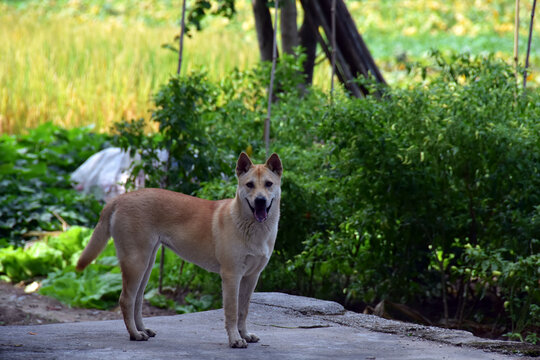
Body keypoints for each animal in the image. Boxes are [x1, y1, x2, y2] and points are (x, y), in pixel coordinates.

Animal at [77, 153, 284, 348]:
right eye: (249, 185)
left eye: (268, 184)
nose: (260, 201)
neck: (251, 227)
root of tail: (119, 198)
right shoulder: (231, 275)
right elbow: (232, 312)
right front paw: (235, 339)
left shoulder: (251, 277)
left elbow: (243, 310)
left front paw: (245, 335)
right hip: (136, 263)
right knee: (126, 299)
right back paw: (135, 334)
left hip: (147, 264)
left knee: (137, 299)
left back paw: (142, 329)